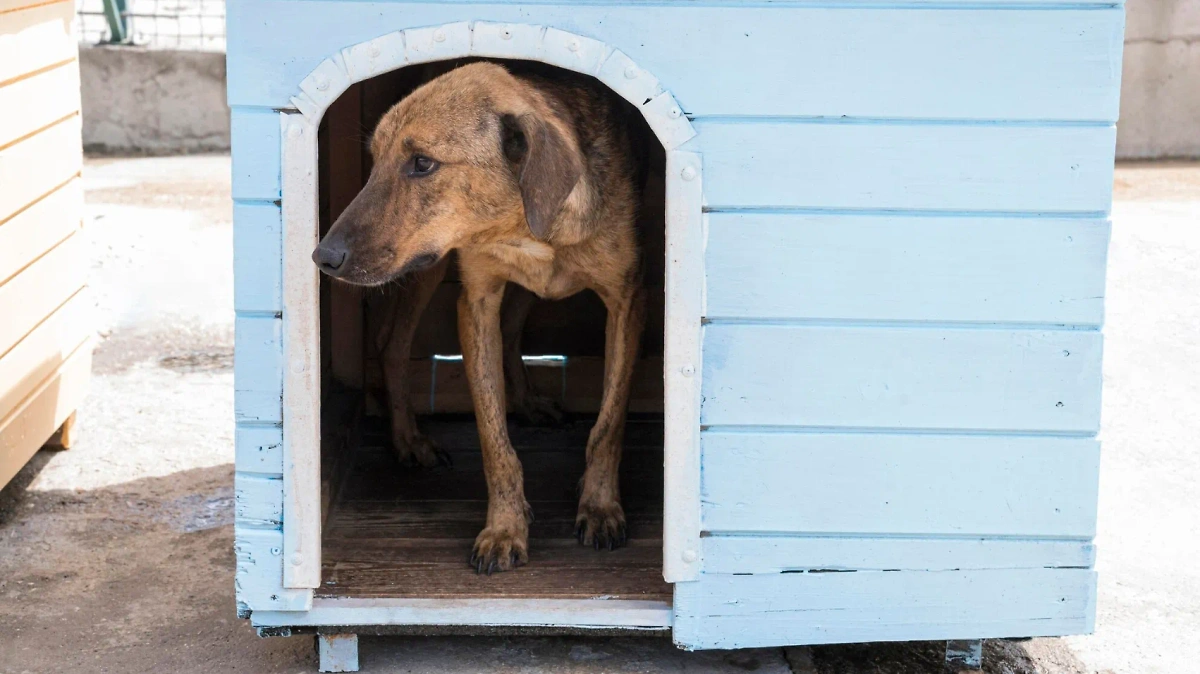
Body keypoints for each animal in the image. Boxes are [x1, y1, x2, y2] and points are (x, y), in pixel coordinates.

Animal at [312, 61, 648, 570]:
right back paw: (409, 439)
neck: (523, 225)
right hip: (427, 270)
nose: (322, 257)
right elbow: (494, 439)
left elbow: (608, 425)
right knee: (393, 344)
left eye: (423, 163)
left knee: (510, 331)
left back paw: (527, 403)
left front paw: (600, 507)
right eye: (373, 160)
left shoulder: (625, 301)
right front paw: (505, 528)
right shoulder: (476, 302)